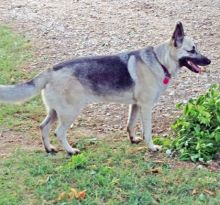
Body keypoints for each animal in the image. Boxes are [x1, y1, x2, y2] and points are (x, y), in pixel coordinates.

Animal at [0, 22, 211, 155]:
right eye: (192, 50)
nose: (209, 61)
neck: (160, 61)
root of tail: (50, 71)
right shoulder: (146, 107)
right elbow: (148, 131)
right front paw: (151, 147)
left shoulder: (135, 106)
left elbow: (130, 125)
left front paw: (133, 139)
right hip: (69, 113)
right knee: (59, 132)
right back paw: (70, 150)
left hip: (55, 111)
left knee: (43, 127)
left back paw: (49, 149)